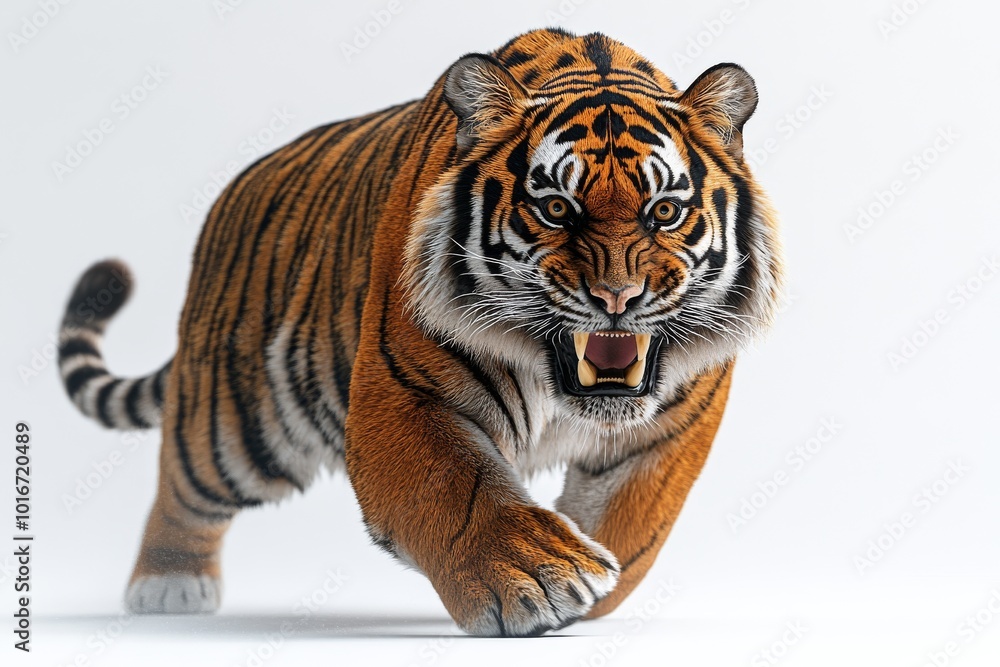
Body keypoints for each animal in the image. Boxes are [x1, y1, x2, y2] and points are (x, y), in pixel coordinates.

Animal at [57, 28, 783, 636]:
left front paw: (592, 574)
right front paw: (543, 575)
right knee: (183, 484)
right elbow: (461, 490)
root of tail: (232, 194)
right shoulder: (403, 391)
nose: (617, 298)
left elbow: (635, 522)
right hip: (238, 419)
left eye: (665, 212)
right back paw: (167, 584)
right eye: (556, 208)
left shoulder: (673, 425)